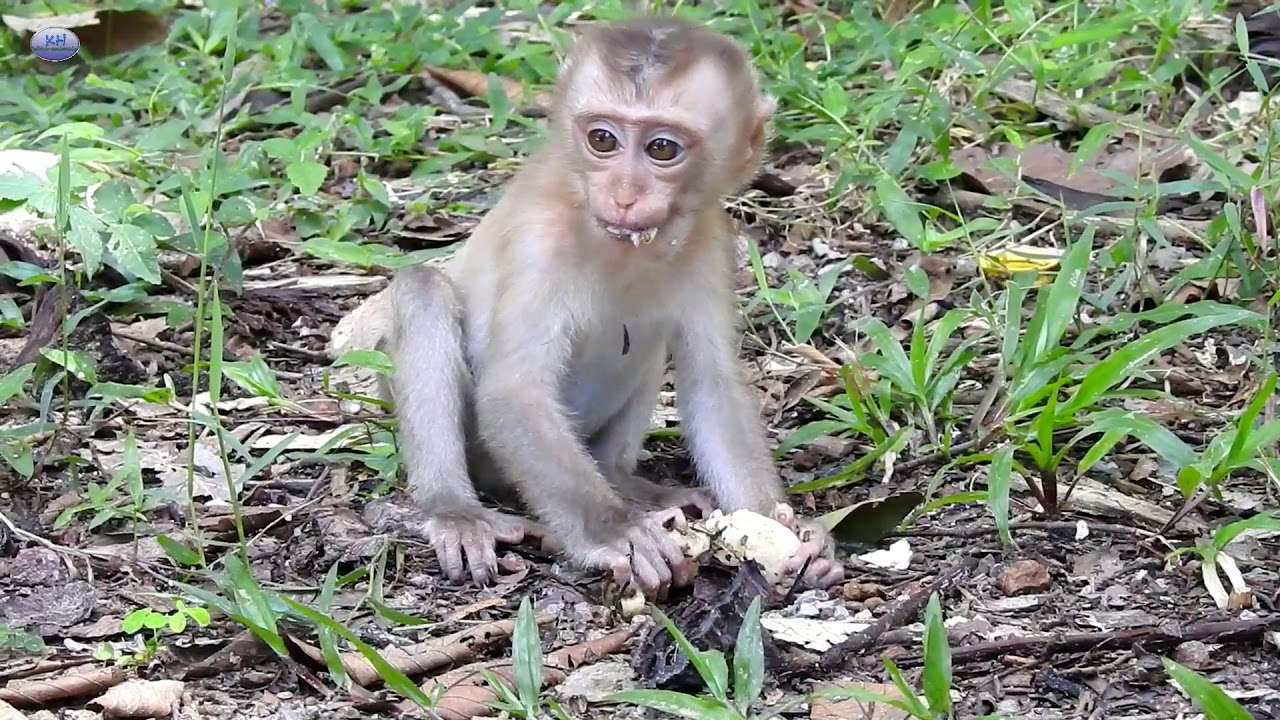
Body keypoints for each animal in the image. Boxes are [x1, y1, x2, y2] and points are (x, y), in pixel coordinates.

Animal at [381, 16, 846, 595]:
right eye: (602, 139)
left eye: (662, 149)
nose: (624, 194)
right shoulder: (539, 238)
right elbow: (514, 393)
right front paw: (614, 533)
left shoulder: (711, 239)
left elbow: (712, 382)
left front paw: (782, 527)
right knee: (423, 290)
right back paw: (454, 509)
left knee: (649, 339)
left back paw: (625, 481)